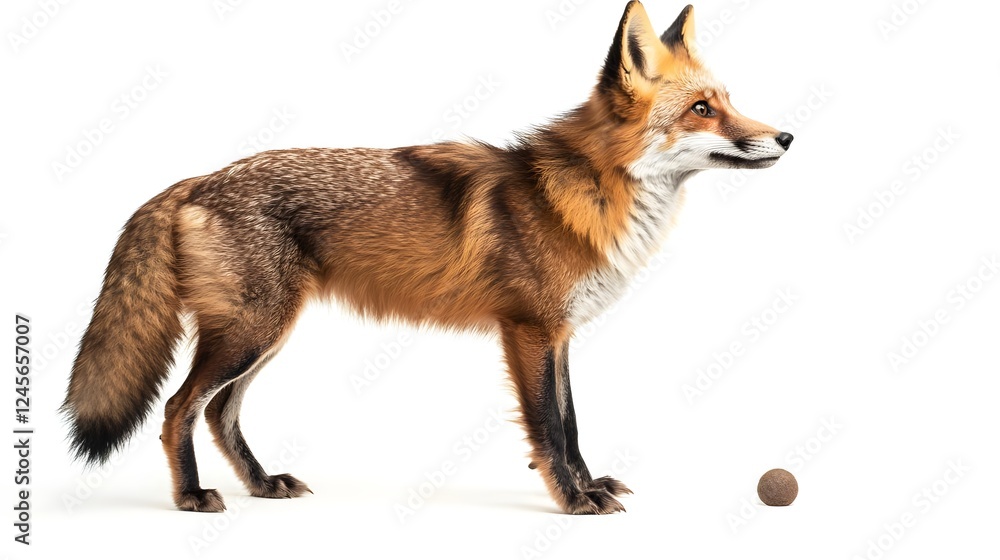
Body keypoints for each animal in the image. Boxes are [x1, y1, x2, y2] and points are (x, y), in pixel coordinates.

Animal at [62, 2, 792, 514]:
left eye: (727, 101)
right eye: (702, 109)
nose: (786, 136)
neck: (585, 193)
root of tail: (194, 180)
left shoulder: (558, 333)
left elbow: (572, 423)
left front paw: (587, 486)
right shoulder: (529, 329)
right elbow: (549, 428)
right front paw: (572, 501)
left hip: (264, 334)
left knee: (218, 413)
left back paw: (262, 483)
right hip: (250, 331)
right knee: (177, 410)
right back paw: (189, 497)